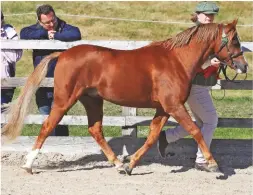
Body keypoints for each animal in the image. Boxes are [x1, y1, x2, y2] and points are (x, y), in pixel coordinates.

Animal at [1, 19, 247, 175]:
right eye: (235, 40)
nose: (244, 66)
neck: (176, 60)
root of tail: (63, 54)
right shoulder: (174, 106)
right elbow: (196, 130)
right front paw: (214, 165)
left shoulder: (163, 108)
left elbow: (152, 136)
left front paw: (130, 165)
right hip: (64, 100)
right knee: (47, 126)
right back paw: (28, 165)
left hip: (92, 100)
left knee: (95, 129)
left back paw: (118, 164)